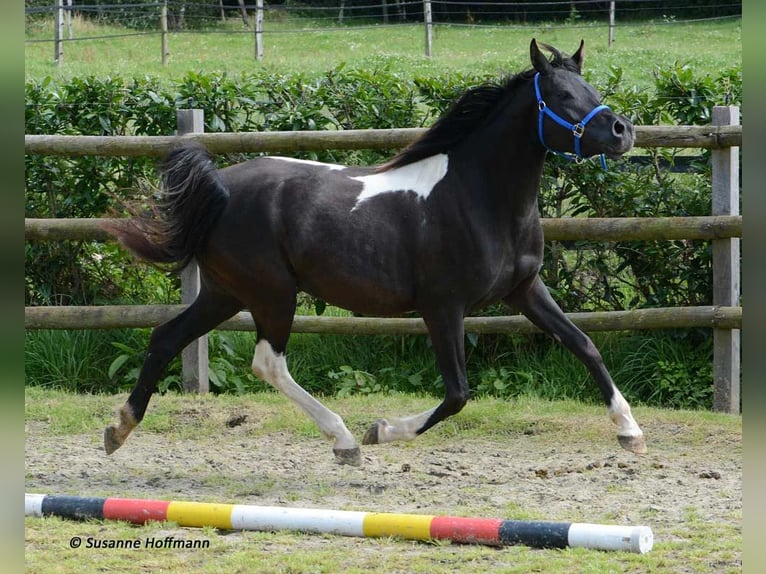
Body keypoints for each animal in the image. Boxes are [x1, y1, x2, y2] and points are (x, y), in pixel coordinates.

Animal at [102, 39, 645, 467]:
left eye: (592, 90)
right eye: (560, 96)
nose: (623, 131)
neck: (477, 196)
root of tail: (219, 189)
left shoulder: (524, 290)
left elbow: (584, 344)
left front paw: (630, 431)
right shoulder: (442, 307)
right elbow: (457, 393)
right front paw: (380, 431)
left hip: (226, 292)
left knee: (166, 337)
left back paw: (119, 428)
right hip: (273, 293)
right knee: (268, 363)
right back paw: (345, 439)